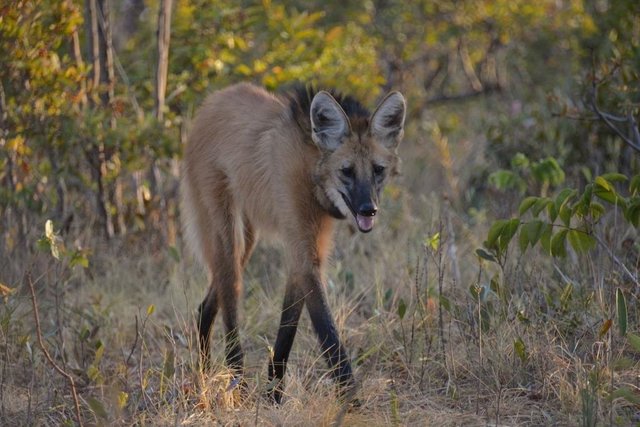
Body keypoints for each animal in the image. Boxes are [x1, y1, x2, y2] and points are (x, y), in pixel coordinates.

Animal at [181, 82, 406, 403]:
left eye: (378, 170)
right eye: (347, 171)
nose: (368, 210)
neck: (312, 172)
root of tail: (211, 101)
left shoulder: (308, 251)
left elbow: (288, 328)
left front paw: (274, 394)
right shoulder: (302, 248)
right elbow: (328, 334)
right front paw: (352, 401)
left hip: (248, 237)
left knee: (207, 305)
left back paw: (204, 373)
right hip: (225, 229)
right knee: (230, 297)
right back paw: (237, 383)